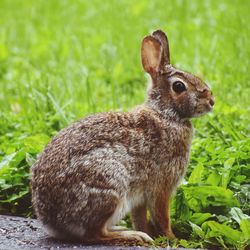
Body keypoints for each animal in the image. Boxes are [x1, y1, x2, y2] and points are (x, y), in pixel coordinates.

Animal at [31, 28, 215, 244]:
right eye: (179, 86)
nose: (211, 100)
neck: (165, 114)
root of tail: (51, 220)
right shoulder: (161, 186)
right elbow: (162, 217)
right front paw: (173, 238)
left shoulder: (139, 198)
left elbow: (140, 216)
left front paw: (152, 233)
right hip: (110, 185)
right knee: (95, 234)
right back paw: (132, 235)